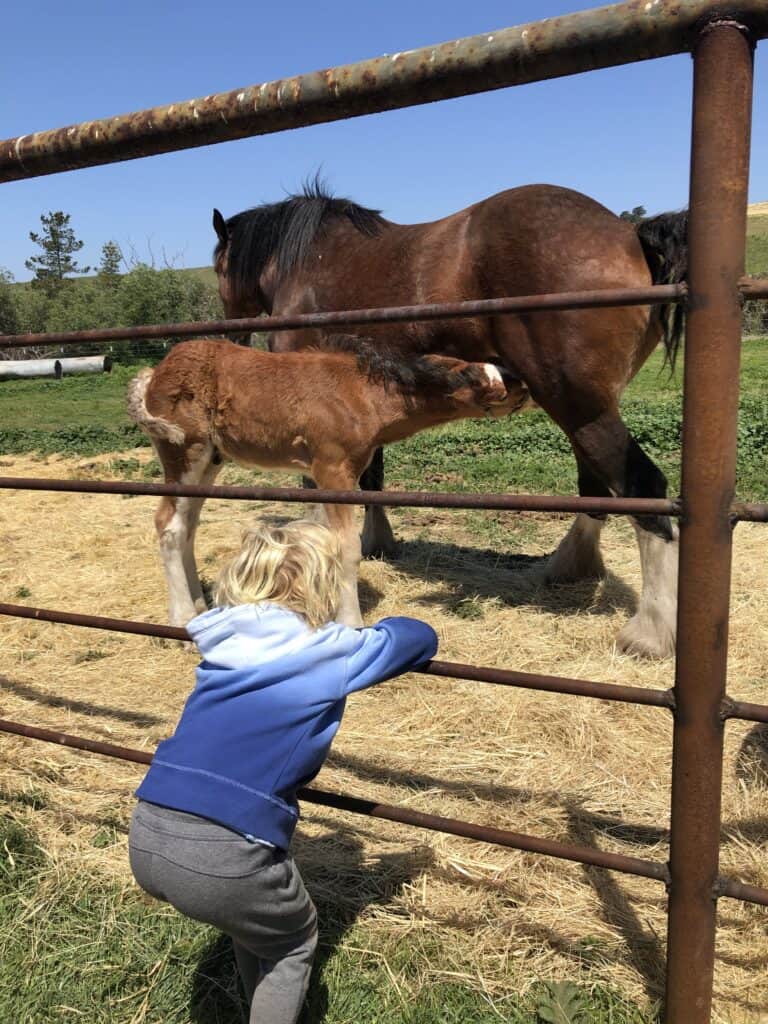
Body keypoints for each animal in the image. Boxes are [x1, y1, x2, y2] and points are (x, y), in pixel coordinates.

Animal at [127, 337, 527, 627]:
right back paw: (182, 620)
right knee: (169, 524)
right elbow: (346, 547)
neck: (361, 393)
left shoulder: (329, 474)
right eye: (484, 378)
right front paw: (351, 622)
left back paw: (200, 607)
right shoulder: (334, 471)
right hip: (184, 452)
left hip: (210, 460)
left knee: (187, 525)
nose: (522, 382)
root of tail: (155, 372)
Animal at [211, 182, 688, 659]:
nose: (232, 335)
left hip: (580, 408)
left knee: (642, 487)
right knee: (596, 488)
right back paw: (571, 567)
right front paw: (378, 542)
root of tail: (628, 234)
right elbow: (373, 477)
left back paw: (649, 632)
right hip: (585, 411)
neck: (310, 260)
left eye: (218, 266)